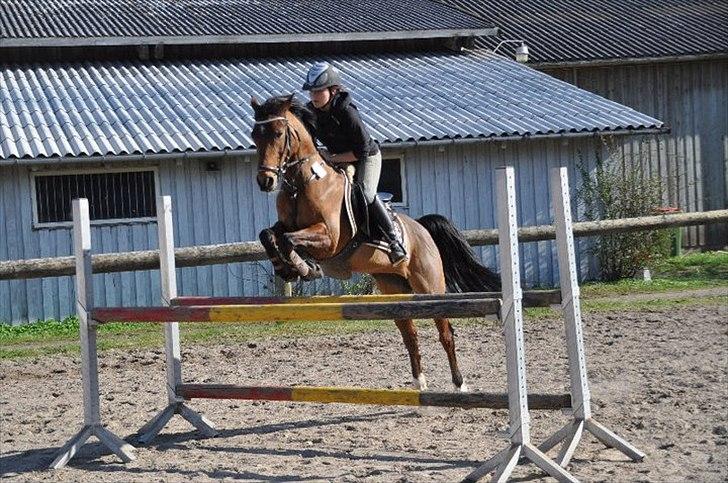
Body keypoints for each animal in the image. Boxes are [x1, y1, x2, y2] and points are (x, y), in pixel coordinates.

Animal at [250, 94, 500, 394]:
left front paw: (303, 267)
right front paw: (286, 267)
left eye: (278, 133)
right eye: (254, 136)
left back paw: (459, 385)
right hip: (394, 288)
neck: (303, 183)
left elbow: (289, 239)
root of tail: (422, 228)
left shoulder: (330, 238)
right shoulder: (286, 225)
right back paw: (419, 384)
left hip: (429, 285)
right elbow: (269, 234)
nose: (265, 181)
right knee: (410, 334)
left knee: (445, 332)